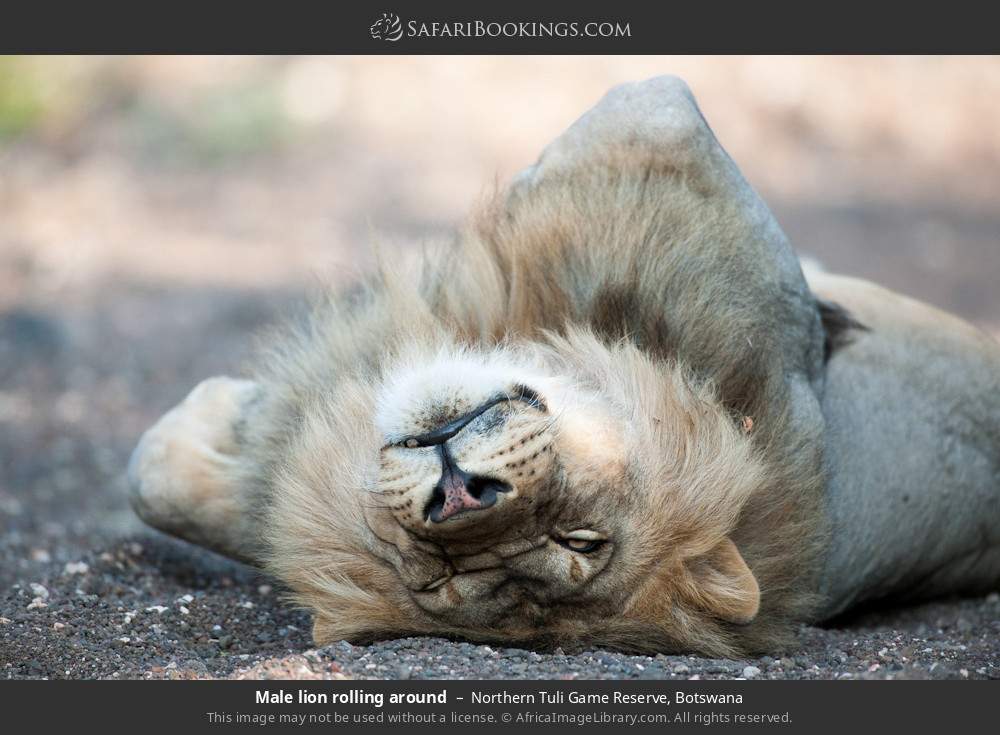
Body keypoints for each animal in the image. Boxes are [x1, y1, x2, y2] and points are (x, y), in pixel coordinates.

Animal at [127, 76, 1000, 657]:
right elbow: (155, 477)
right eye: (433, 570)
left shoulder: (659, 126)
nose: (460, 496)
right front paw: (219, 421)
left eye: (581, 540)